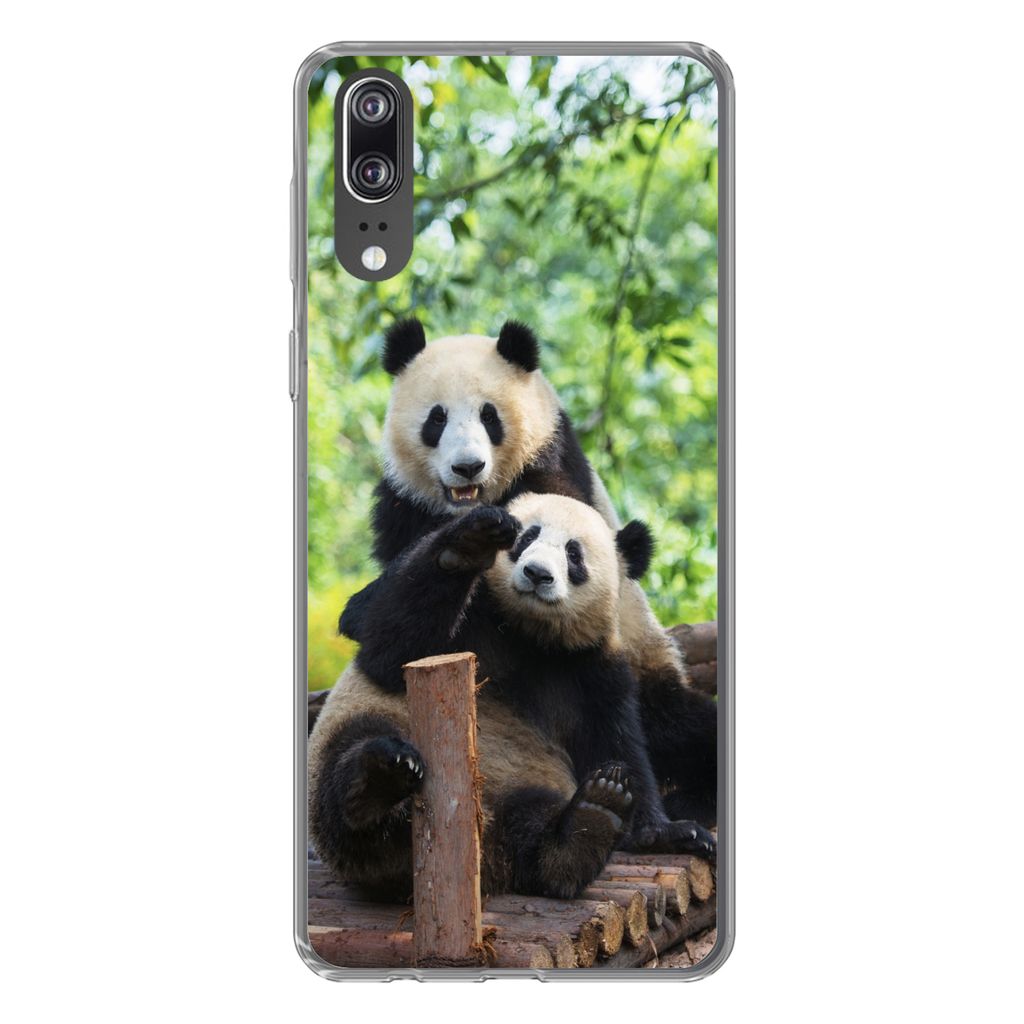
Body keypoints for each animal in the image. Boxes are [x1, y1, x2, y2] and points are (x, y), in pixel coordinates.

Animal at [308, 493, 715, 900]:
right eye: (526, 537)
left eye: (573, 554)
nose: (536, 573)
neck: (528, 633)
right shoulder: (470, 622)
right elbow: (390, 650)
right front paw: (469, 544)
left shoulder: (591, 667)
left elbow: (616, 740)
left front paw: (664, 830)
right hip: (365, 731)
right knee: (350, 763)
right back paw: (380, 779)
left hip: (522, 788)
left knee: (530, 828)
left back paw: (587, 826)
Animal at [339, 317, 717, 826]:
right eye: (437, 419)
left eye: (489, 416)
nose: (468, 466)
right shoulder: (403, 505)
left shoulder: (552, 468)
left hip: (648, 666)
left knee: (687, 727)